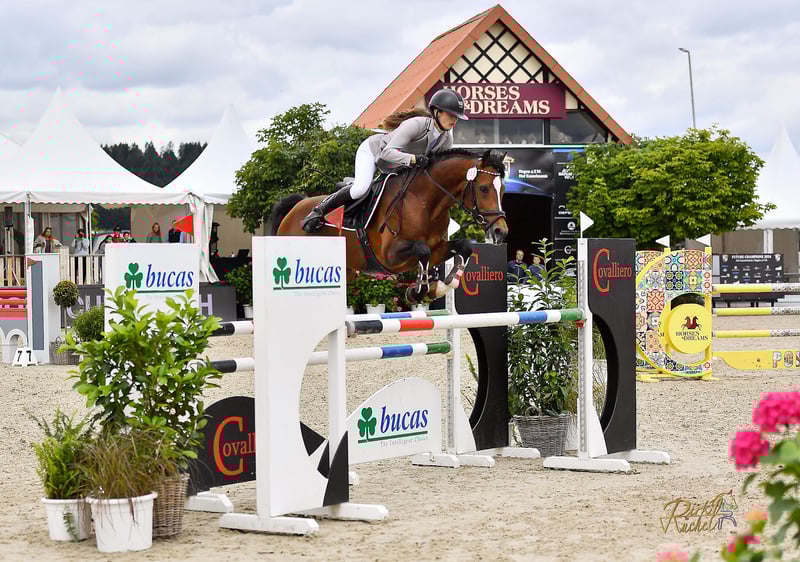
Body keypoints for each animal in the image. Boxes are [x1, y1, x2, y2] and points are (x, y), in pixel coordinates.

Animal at [267, 149, 509, 302]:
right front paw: (418, 291)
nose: (501, 231)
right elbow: (422, 251)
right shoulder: (390, 255)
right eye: (484, 188)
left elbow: (464, 246)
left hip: (346, 272)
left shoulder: (439, 248)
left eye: (503, 189)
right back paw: (314, 216)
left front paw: (441, 286)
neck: (426, 203)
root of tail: (295, 208)